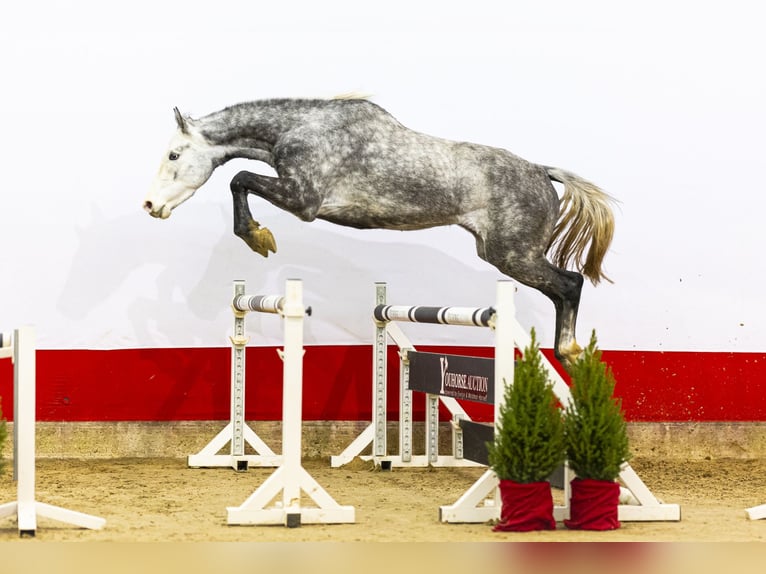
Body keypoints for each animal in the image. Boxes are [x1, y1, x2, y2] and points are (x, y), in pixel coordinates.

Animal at [144, 97, 615, 368]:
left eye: (174, 155)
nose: (150, 206)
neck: (300, 129)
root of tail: (541, 171)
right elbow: (240, 179)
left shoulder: (303, 200)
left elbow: (239, 178)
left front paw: (258, 237)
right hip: (502, 254)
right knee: (563, 288)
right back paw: (570, 356)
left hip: (514, 255)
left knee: (570, 284)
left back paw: (569, 352)